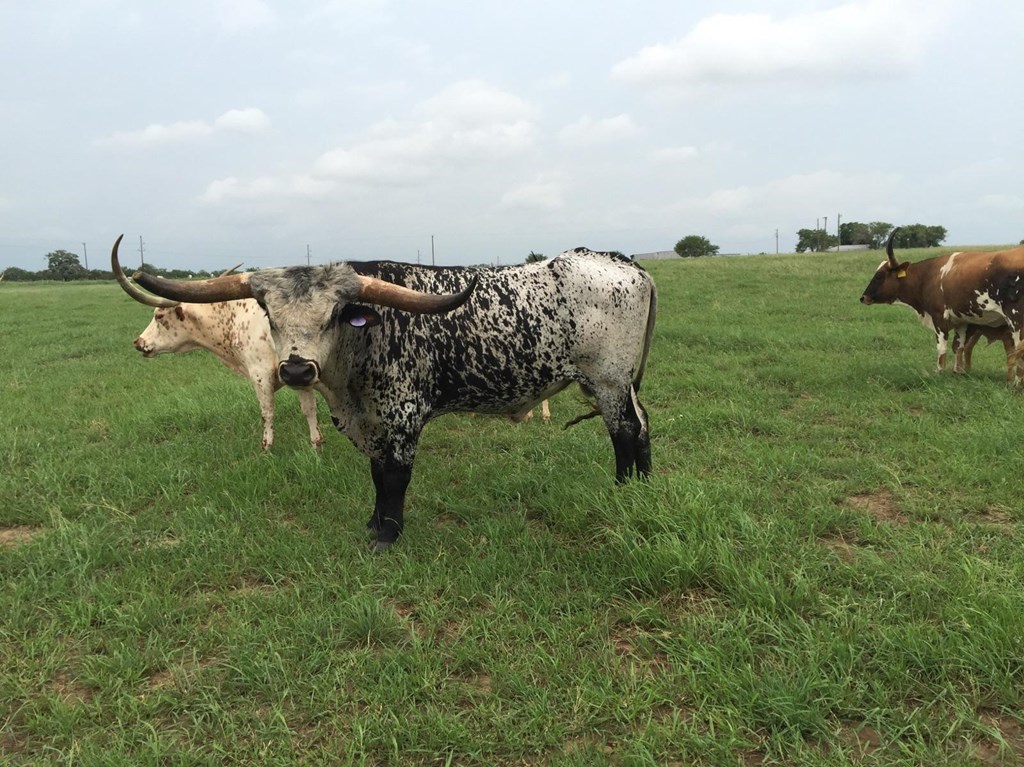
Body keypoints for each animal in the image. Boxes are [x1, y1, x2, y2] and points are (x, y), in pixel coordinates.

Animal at [111, 237, 323, 450]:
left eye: (159, 315)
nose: (139, 342)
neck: (236, 317)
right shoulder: (298, 373)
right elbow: (309, 410)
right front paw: (316, 446)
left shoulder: (261, 374)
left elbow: (268, 413)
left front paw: (267, 447)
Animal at [860, 229, 1024, 384]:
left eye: (879, 276)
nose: (863, 297)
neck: (928, 275)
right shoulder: (962, 321)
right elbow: (959, 346)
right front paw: (958, 372)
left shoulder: (939, 316)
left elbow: (941, 347)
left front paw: (939, 372)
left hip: (1016, 321)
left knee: (1019, 350)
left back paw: (1016, 384)